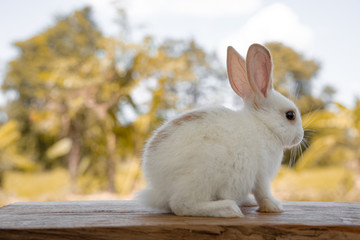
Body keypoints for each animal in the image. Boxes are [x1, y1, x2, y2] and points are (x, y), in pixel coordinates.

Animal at [137, 43, 304, 218]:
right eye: (290, 115)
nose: (300, 136)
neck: (264, 124)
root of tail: (158, 187)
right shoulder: (261, 176)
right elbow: (263, 194)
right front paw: (275, 207)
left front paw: (251, 201)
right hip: (204, 174)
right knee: (181, 204)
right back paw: (228, 209)